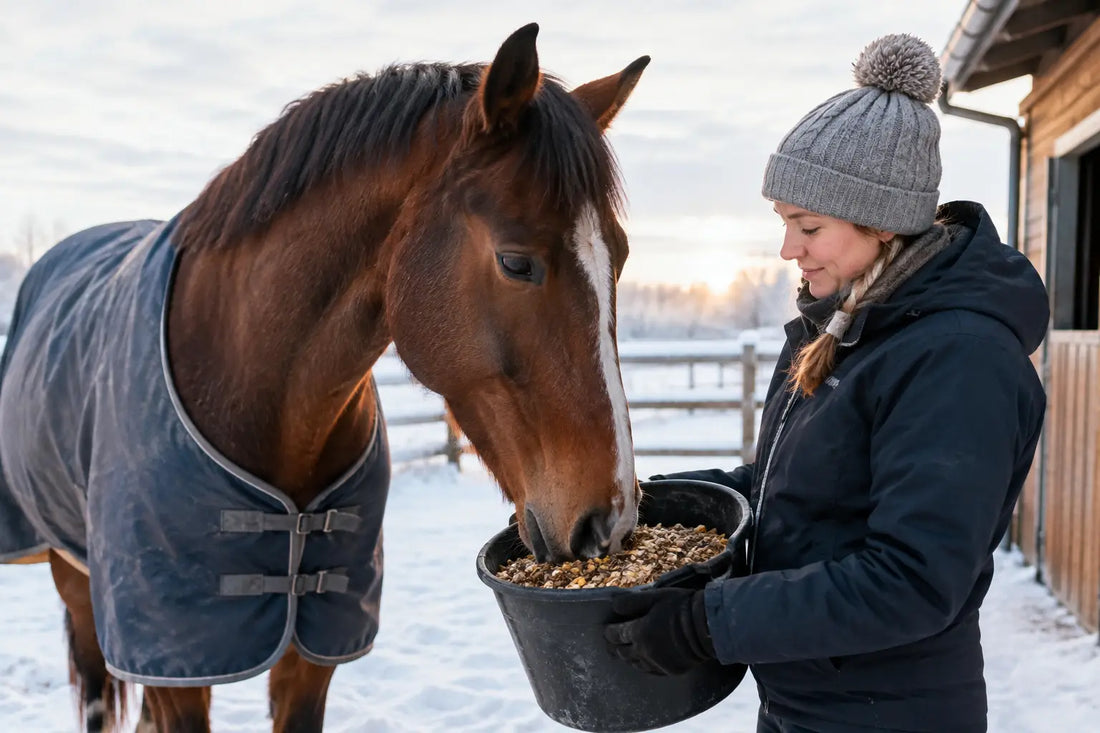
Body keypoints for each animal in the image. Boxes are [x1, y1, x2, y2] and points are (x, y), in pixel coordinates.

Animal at [0, 23, 648, 732]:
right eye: (515, 262)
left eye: (618, 255)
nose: (609, 522)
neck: (241, 373)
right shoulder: (177, 659)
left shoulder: (311, 651)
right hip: (77, 583)